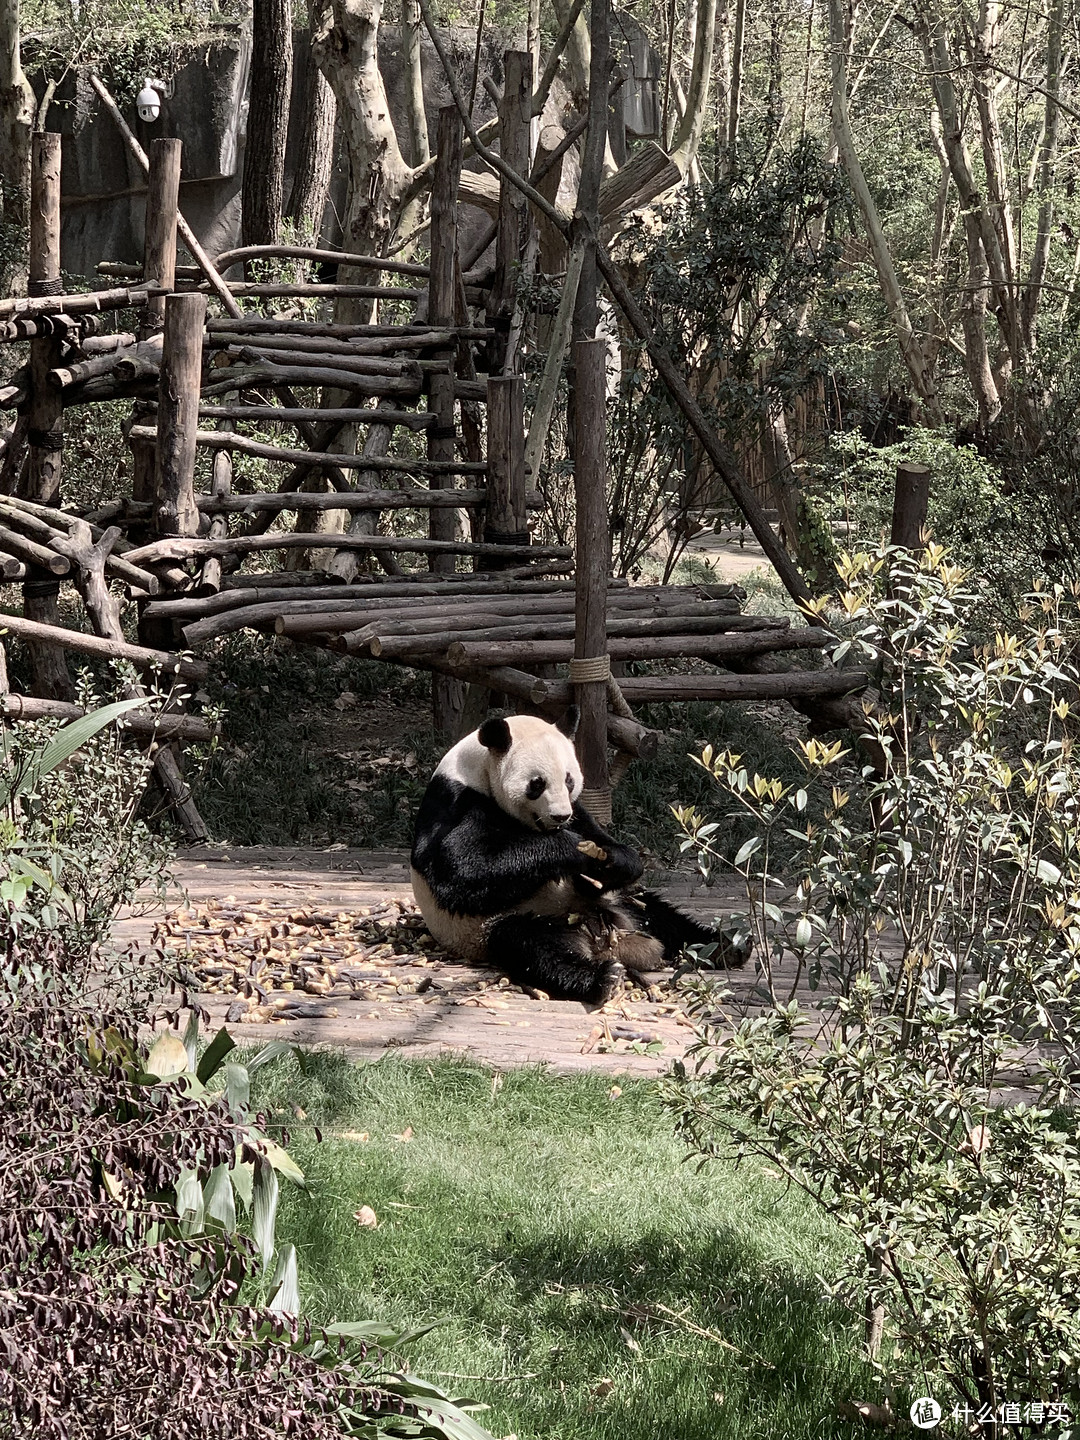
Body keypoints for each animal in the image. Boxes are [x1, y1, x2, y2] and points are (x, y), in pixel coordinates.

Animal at [411, 708, 754, 1002]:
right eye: (537, 784)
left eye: (569, 779)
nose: (560, 816)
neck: (479, 767)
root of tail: (601, 940)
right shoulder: (459, 802)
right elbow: (461, 871)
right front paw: (572, 850)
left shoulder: (578, 810)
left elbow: (599, 836)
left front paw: (614, 860)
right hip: (497, 926)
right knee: (531, 947)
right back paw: (601, 979)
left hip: (621, 903)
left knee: (663, 916)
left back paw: (725, 947)